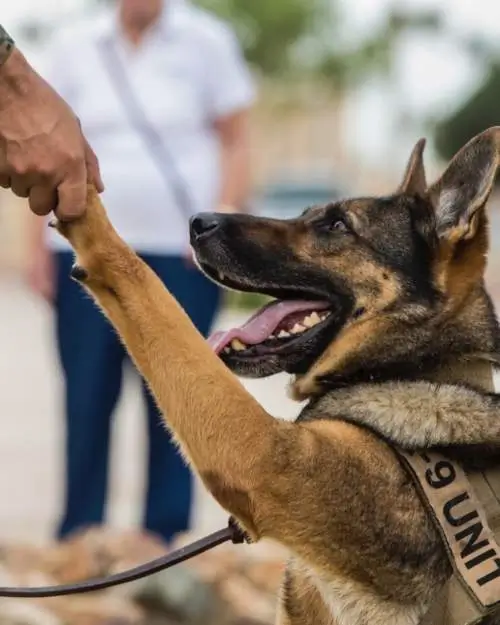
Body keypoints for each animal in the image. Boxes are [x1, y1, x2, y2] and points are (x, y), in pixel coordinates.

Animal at [51, 128, 500, 624]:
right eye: (306, 214)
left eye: (337, 226)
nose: (197, 221)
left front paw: (86, 212)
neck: (417, 364)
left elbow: (148, 286)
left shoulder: (258, 455)